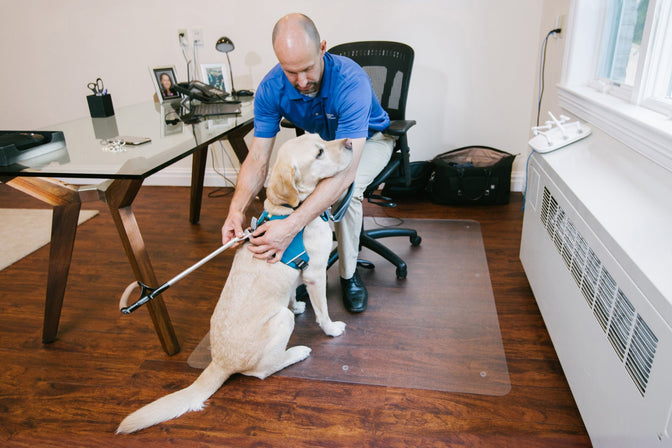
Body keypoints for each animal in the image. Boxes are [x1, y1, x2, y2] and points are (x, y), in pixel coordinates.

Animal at [117, 134, 352, 434]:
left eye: (321, 138)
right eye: (319, 152)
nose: (350, 143)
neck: (289, 212)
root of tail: (219, 363)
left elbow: (289, 293)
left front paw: (297, 304)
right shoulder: (316, 273)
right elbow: (322, 312)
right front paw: (332, 329)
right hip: (280, 322)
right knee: (262, 371)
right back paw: (296, 352)